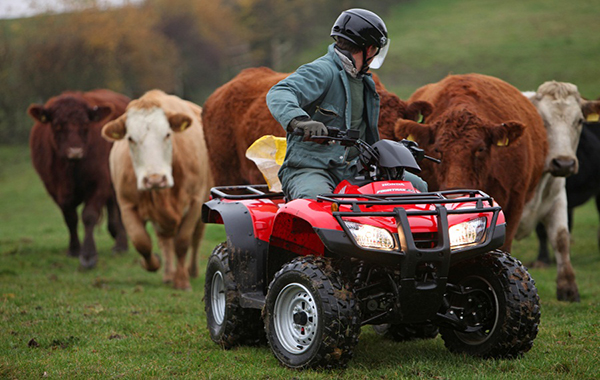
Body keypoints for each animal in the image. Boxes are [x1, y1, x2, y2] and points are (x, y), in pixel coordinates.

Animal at [28, 89, 130, 268]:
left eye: (85, 124)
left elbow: (88, 215)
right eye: (57, 125)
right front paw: (74, 249)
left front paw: (88, 255)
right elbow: (70, 218)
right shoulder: (55, 189)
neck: (71, 169)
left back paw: (120, 245)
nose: (75, 151)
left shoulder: (100, 183)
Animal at [102, 90, 213, 290]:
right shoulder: (126, 205)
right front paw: (152, 263)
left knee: (196, 237)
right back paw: (168, 273)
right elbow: (141, 242)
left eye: (168, 134)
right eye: (130, 138)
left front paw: (182, 280)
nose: (155, 179)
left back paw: (191, 271)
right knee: (164, 240)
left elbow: (183, 242)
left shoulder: (194, 201)